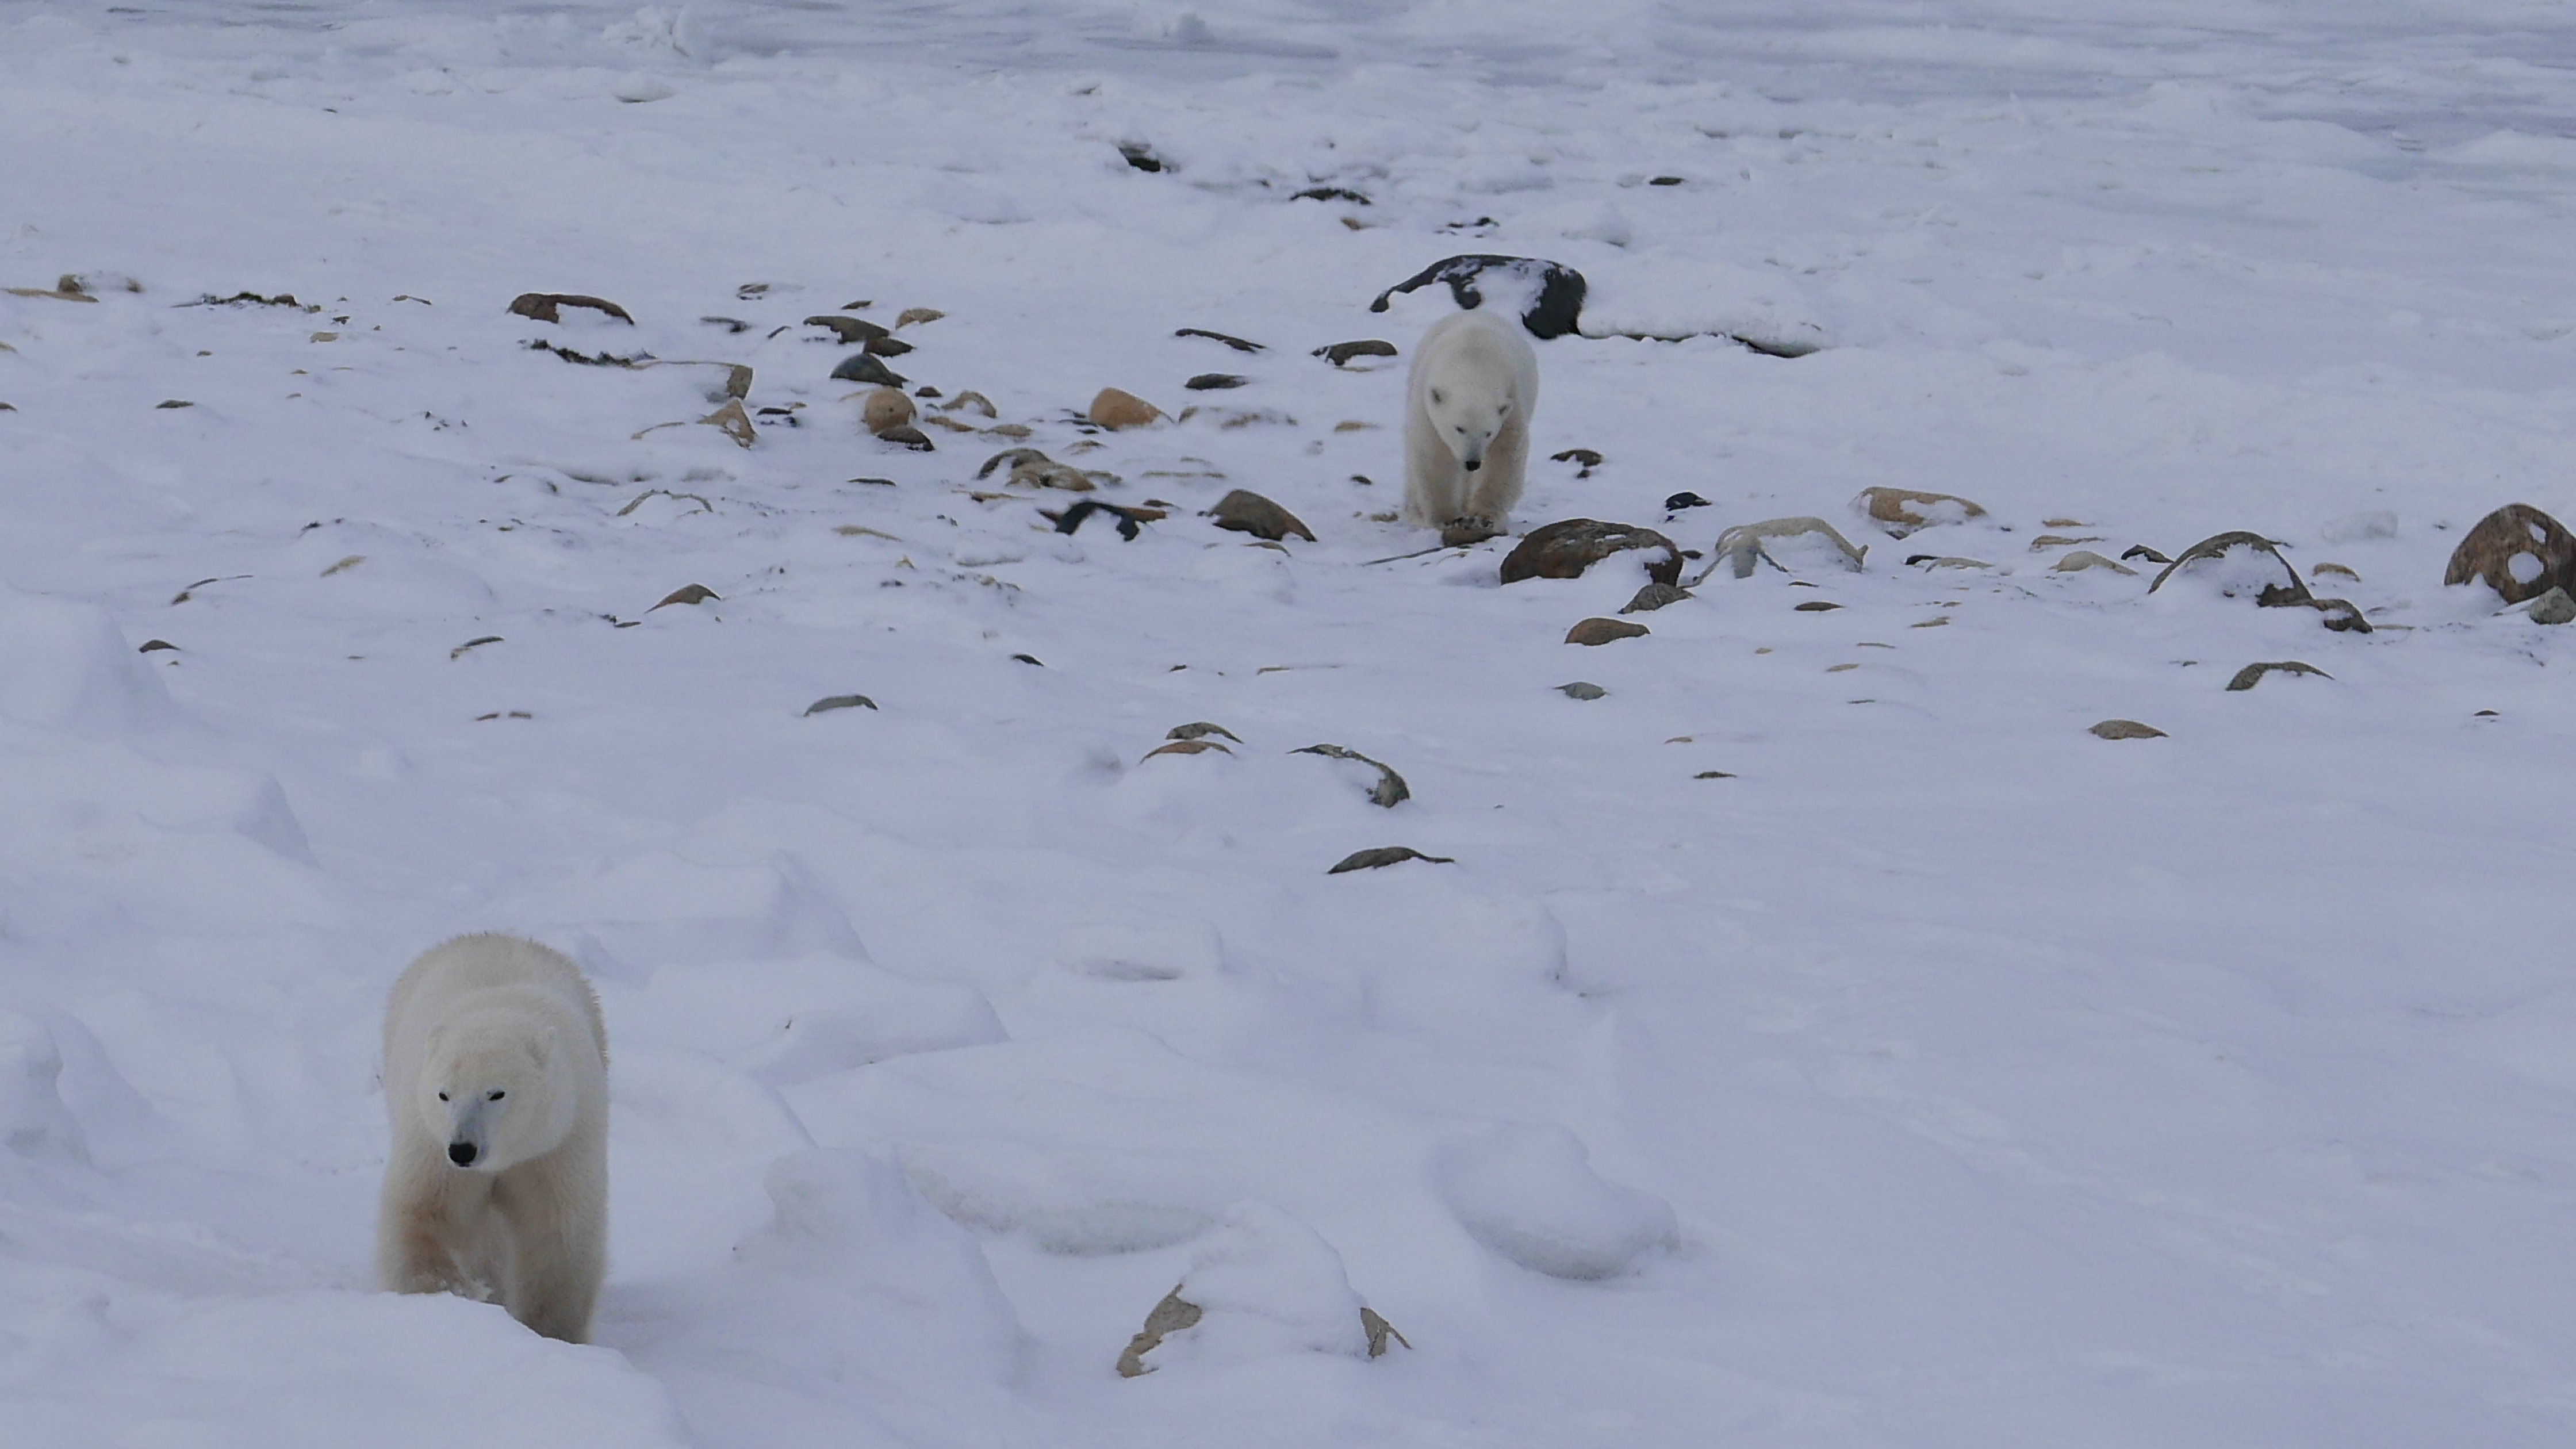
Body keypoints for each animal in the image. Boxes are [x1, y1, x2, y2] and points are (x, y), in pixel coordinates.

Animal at [378, 928, 610, 1340]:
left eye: (496, 1093)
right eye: (444, 1094)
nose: (463, 1150)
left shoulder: (558, 1140)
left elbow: (555, 1231)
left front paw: (550, 1332)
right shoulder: (429, 1139)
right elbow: (424, 1210)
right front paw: (454, 1292)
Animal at [1401, 310, 1535, 541]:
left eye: (1488, 433)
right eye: (1459, 428)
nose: (1472, 462)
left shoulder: (1512, 400)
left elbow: (1504, 455)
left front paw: (1483, 517)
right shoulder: (1427, 404)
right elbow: (1433, 454)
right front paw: (1447, 518)